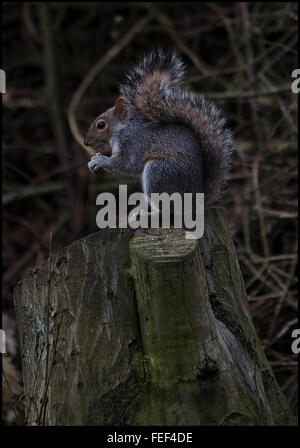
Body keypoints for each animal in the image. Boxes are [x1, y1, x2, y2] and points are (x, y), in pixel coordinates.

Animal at [85, 48, 233, 209]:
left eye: (101, 125)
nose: (86, 142)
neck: (123, 129)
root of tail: (197, 198)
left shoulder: (134, 142)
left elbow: (128, 164)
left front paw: (101, 161)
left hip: (159, 172)